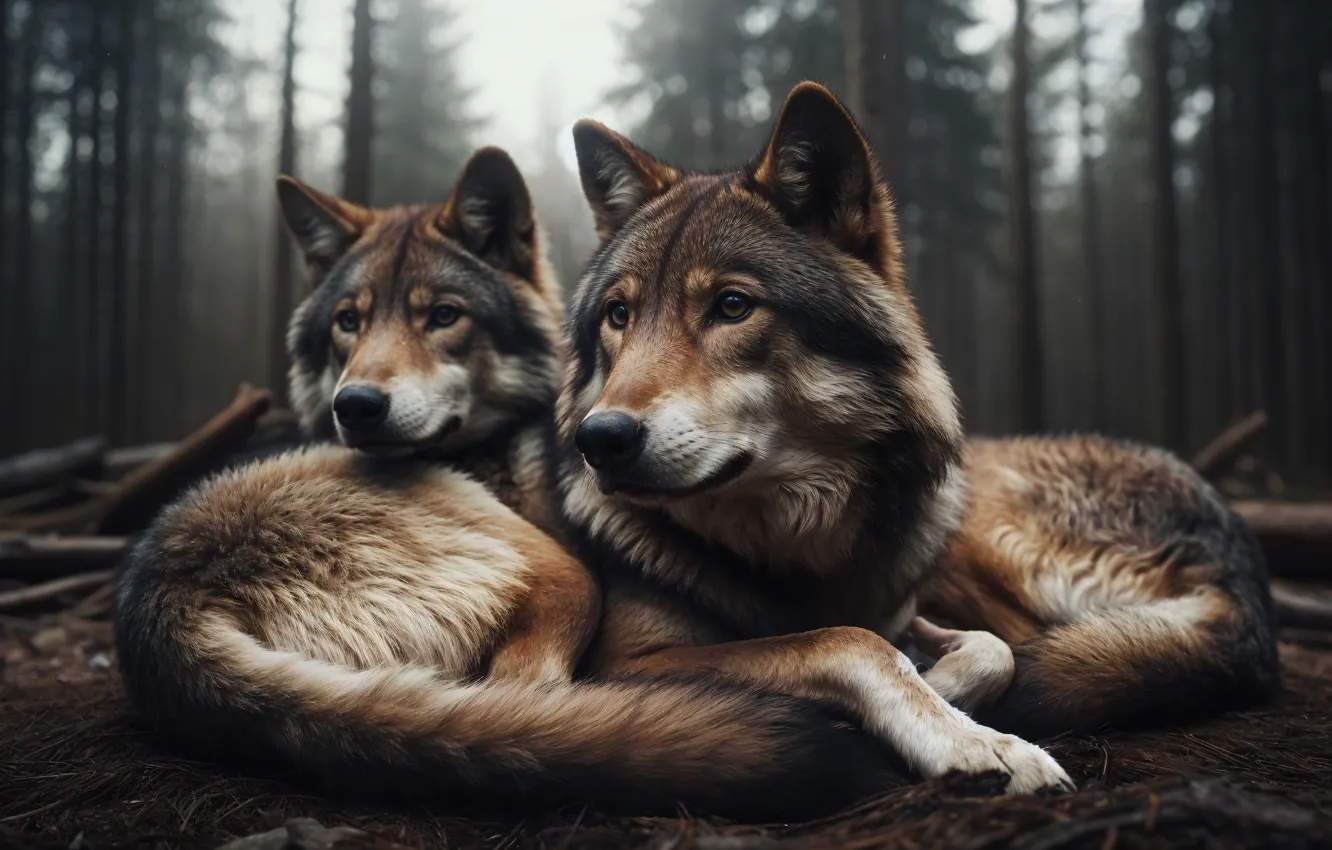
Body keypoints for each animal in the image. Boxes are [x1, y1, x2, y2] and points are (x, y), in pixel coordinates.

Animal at [115, 147, 900, 821]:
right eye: (348, 322)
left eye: (443, 316)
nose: (357, 405)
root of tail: (159, 614)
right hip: (562, 574)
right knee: (534, 702)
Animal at [556, 82, 1279, 790]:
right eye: (618, 315)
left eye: (732, 306)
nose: (601, 439)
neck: (796, 549)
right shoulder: (628, 661)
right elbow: (849, 639)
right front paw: (971, 737)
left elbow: (946, 645)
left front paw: (954, 700)